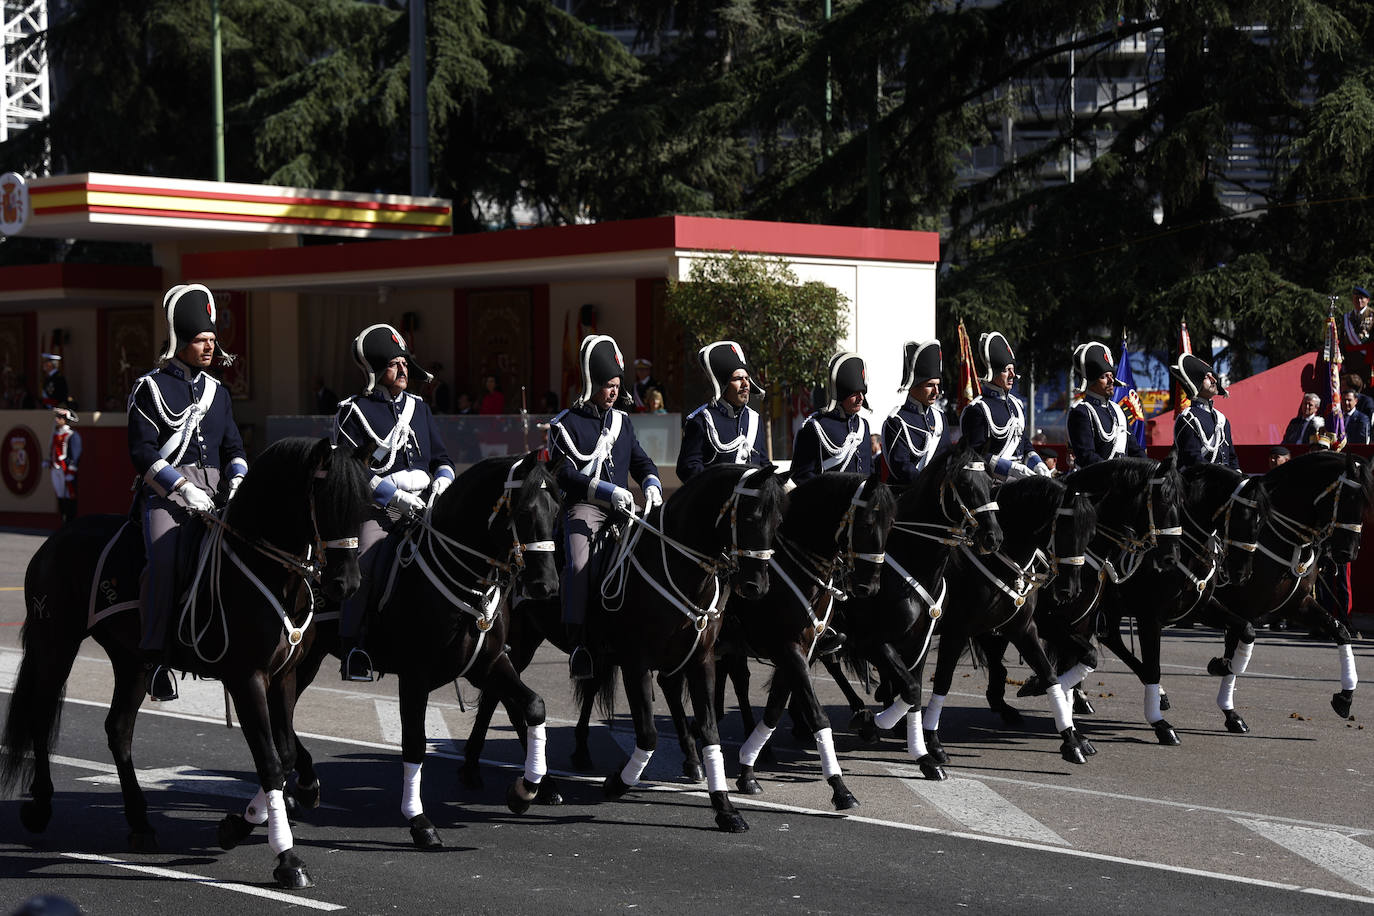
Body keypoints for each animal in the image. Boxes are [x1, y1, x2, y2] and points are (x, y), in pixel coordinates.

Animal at [0, 436, 368, 889]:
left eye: (364, 504)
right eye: (326, 500)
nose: (346, 583)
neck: (266, 567)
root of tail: (56, 539)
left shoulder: (285, 675)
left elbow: (282, 755)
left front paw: (240, 824)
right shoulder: (247, 678)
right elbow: (268, 761)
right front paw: (286, 858)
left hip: (132, 660)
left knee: (118, 730)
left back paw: (140, 823)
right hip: (56, 642)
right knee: (41, 714)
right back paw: (40, 807)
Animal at [270, 455, 560, 851]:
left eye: (557, 509)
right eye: (526, 510)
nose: (547, 586)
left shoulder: (490, 663)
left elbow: (533, 706)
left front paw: (525, 790)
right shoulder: (414, 676)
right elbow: (414, 745)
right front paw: (419, 822)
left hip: (306, 660)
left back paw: (300, 788)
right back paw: (300, 787)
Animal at [1203, 447, 1363, 736]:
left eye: (1365, 503)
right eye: (1346, 499)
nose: (1348, 552)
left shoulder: (1296, 604)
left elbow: (1340, 631)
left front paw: (1345, 698)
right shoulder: (1241, 608)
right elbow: (1236, 648)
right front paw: (1229, 709)